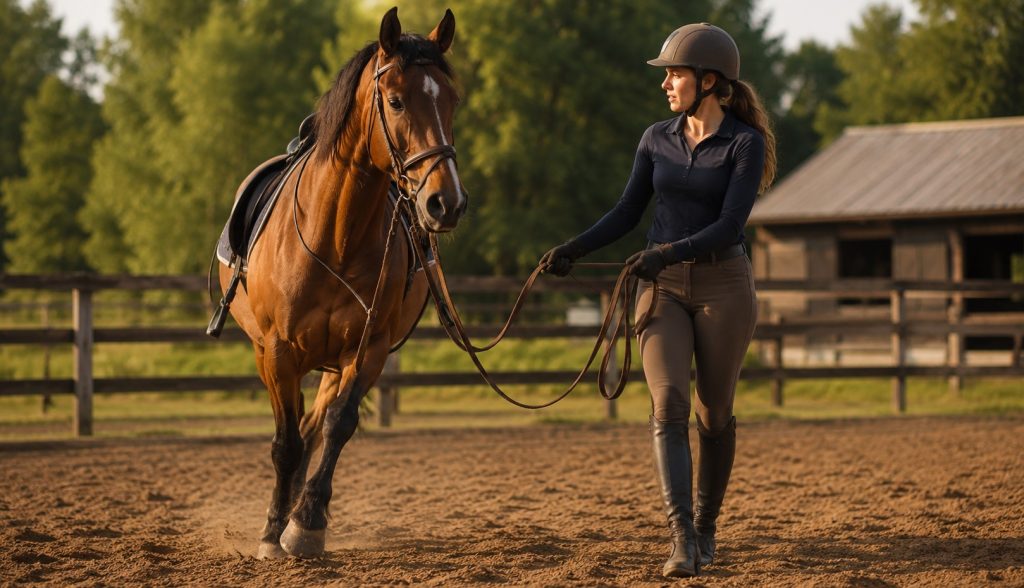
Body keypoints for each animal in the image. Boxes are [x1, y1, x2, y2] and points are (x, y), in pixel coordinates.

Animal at [217, 8, 466, 559]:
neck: (335, 236)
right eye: (395, 100)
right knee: (294, 435)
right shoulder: (278, 351)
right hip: (273, 354)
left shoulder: (367, 349)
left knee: (315, 427)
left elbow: (337, 427)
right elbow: (285, 443)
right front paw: (273, 532)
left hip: (334, 362)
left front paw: (307, 523)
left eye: (452, 101)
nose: (446, 203)